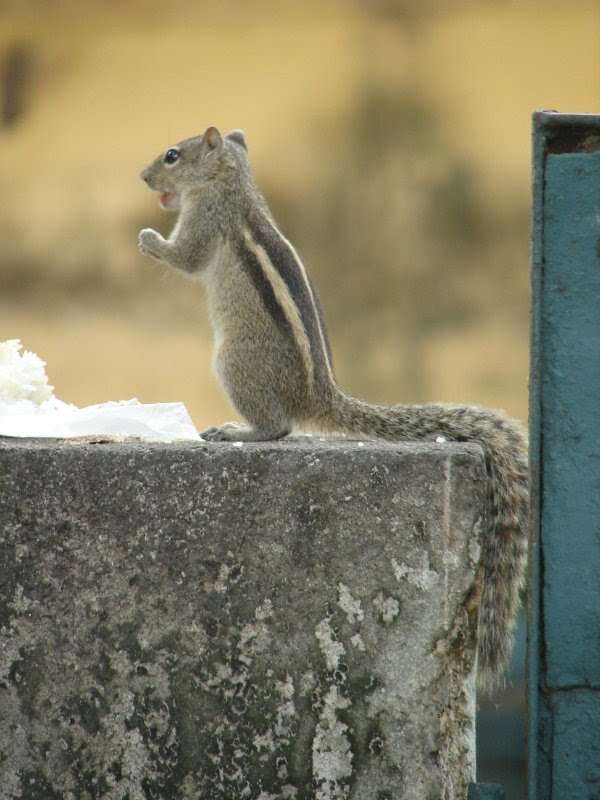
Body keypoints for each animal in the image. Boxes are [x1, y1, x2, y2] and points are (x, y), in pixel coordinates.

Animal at [138, 125, 528, 688]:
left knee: (276, 427)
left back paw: (236, 432)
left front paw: (149, 239)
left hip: (232, 363)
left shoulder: (206, 222)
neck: (233, 181)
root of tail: (319, 392)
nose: (143, 176)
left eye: (172, 155)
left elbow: (186, 257)